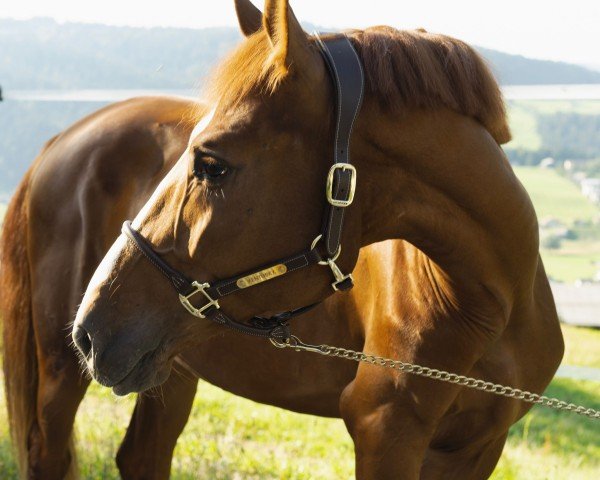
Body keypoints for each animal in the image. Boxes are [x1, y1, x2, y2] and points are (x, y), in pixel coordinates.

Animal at [1, 0, 564, 480]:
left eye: (212, 164)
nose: (90, 329)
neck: (487, 303)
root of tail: (62, 140)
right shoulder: (385, 429)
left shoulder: (476, 448)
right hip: (61, 371)